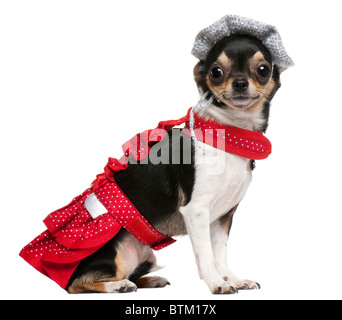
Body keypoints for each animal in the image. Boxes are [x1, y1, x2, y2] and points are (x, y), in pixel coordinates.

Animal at [64, 33, 280, 294]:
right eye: (216, 72)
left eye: (263, 69)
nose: (239, 83)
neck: (227, 134)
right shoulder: (196, 211)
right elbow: (207, 256)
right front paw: (217, 282)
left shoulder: (222, 217)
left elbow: (220, 254)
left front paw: (234, 279)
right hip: (114, 252)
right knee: (78, 283)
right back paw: (118, 286)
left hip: (145, 256)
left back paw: (149, 280)